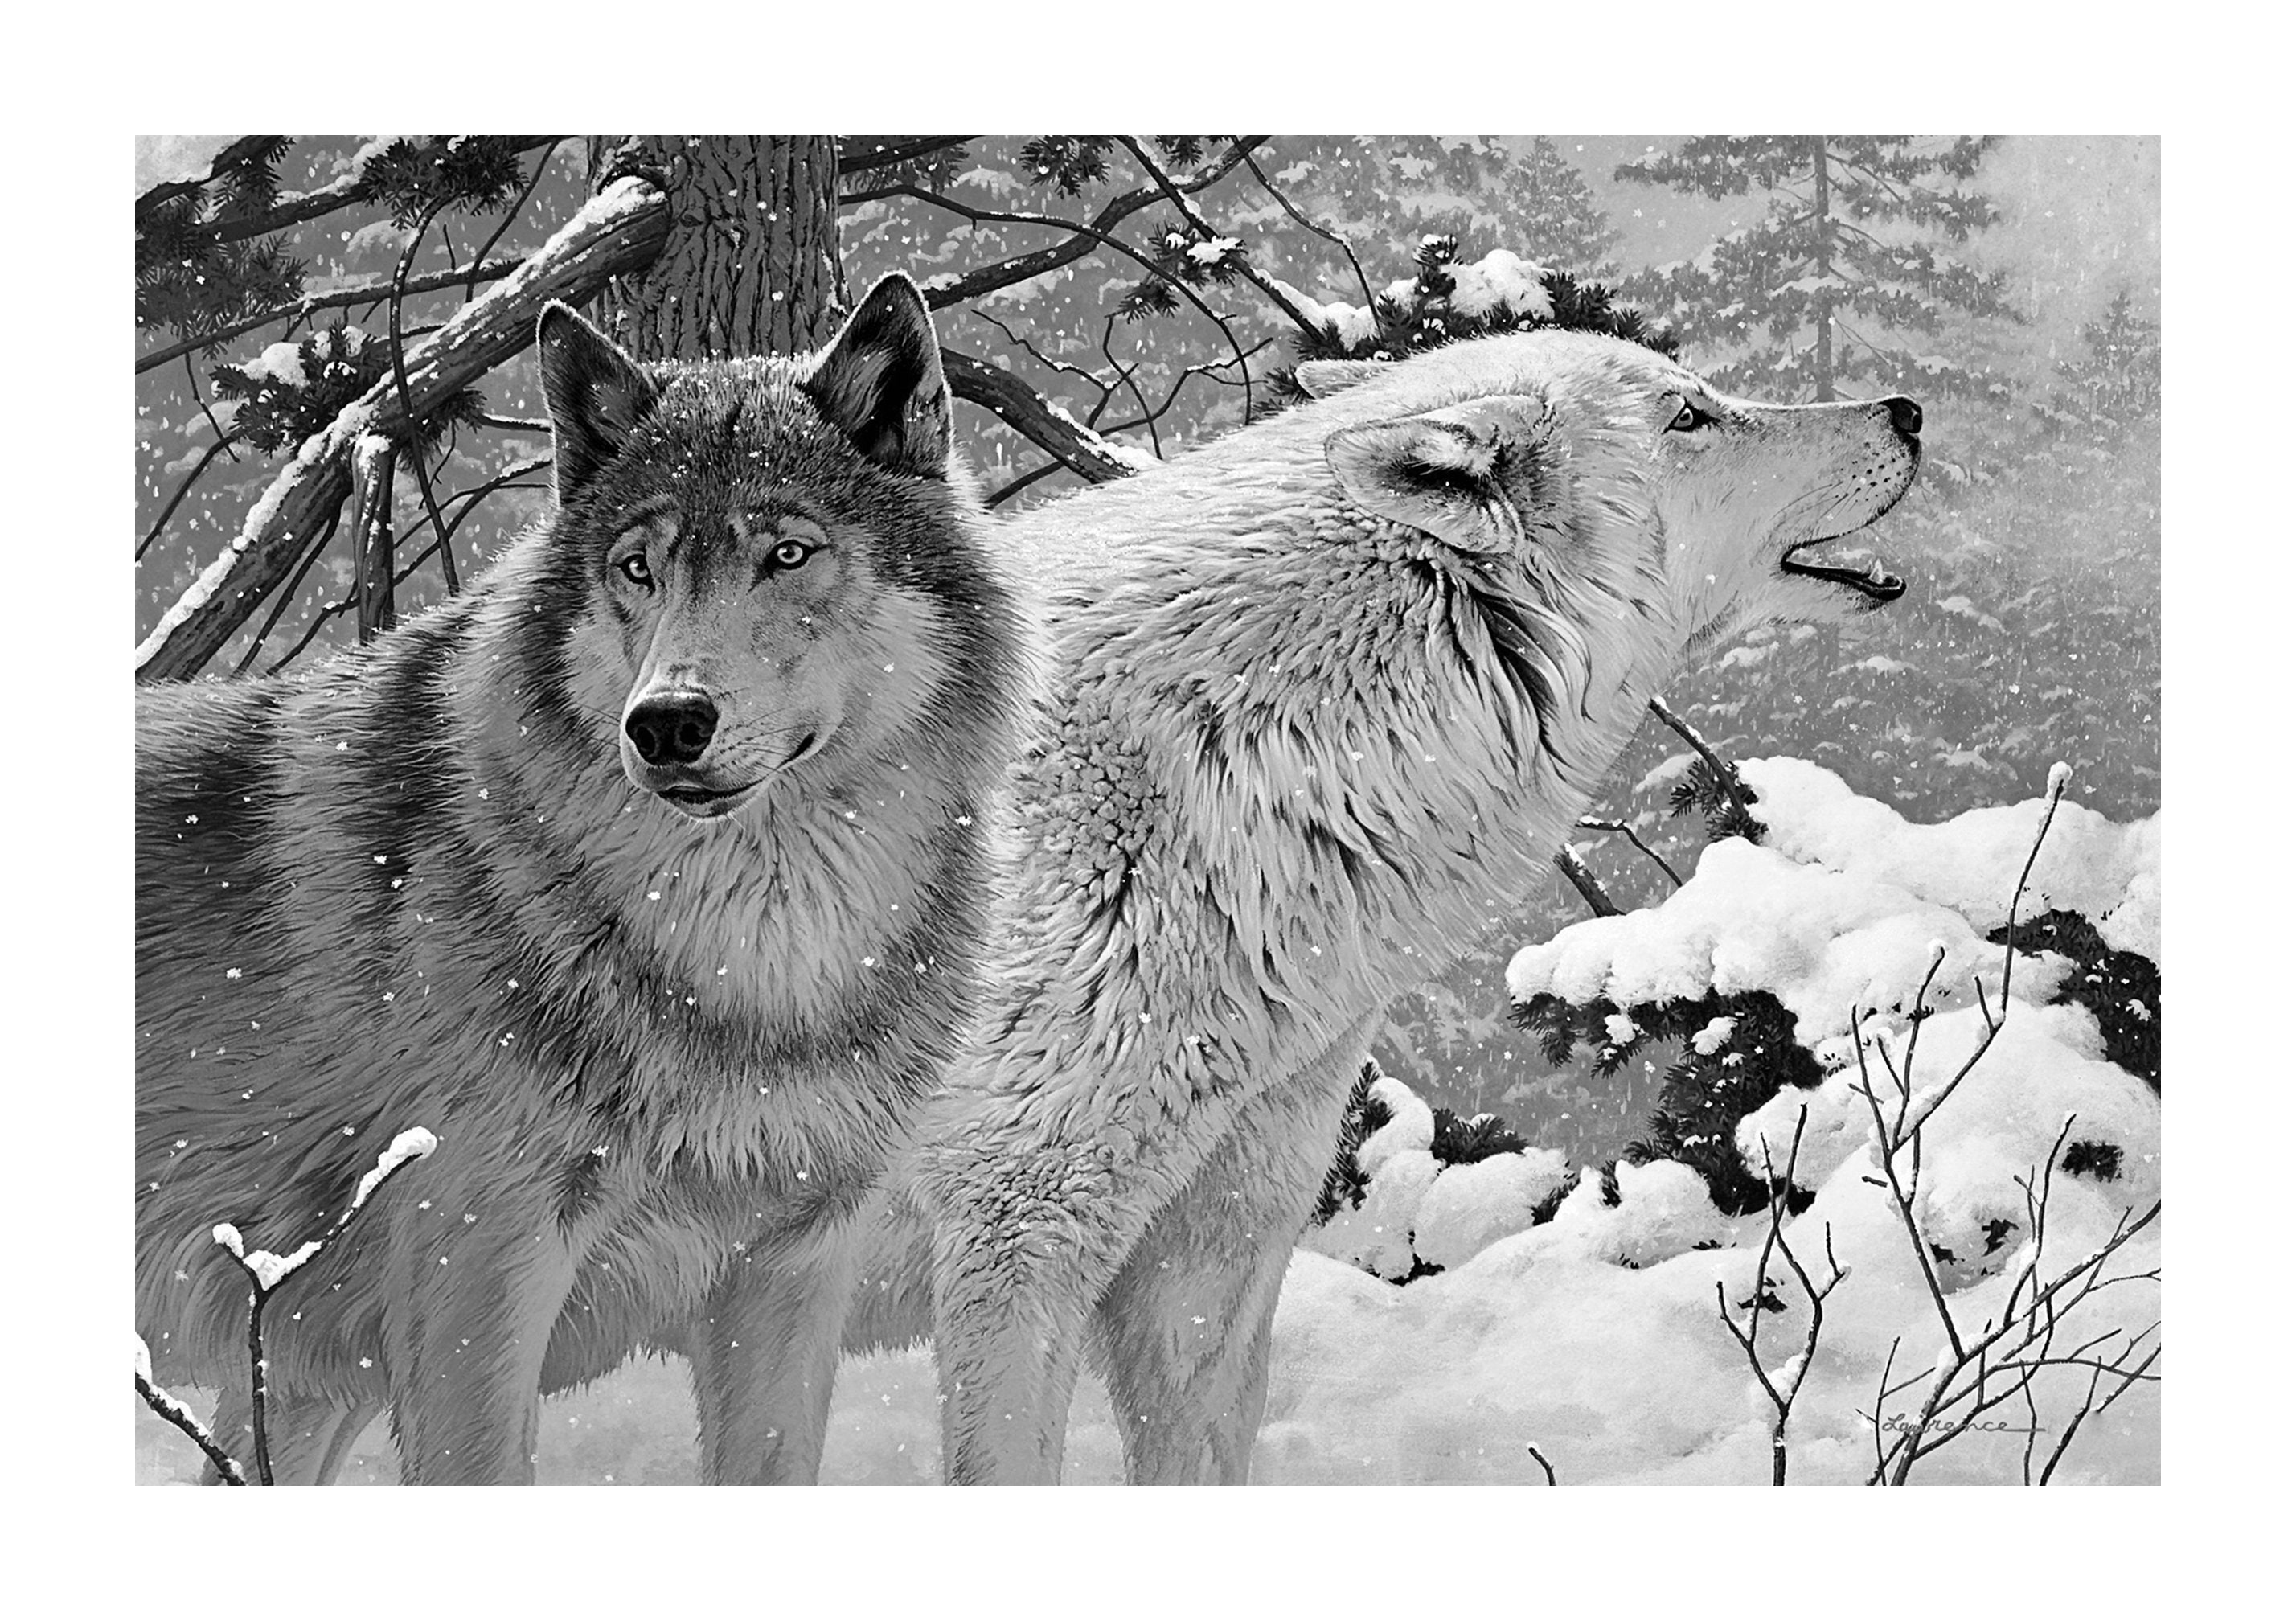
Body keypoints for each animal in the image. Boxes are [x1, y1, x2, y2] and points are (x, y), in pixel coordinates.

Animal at [134, 273, 1028, 1485]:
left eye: (788, 555)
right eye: (637, 568)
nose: (666, 723)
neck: (756, 970)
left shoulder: (793, 1268)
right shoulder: (476, 1278)